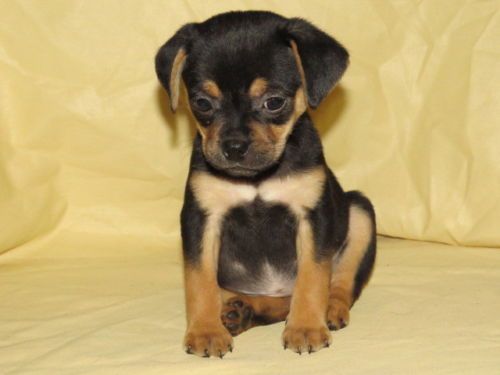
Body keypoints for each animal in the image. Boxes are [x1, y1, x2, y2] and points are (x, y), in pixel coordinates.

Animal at [155, 11, 376, 358]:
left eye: (273, 102)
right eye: (202, 103)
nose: (233, 147)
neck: (257, 177)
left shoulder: (314, 217)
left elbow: (313, 278)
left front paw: (306, 328)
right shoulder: (200, 218)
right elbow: (199, 282)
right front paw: (205, 332)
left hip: (360, 211)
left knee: (338, 284)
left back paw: (328, 310)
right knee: (268, 301)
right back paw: (238, 312)